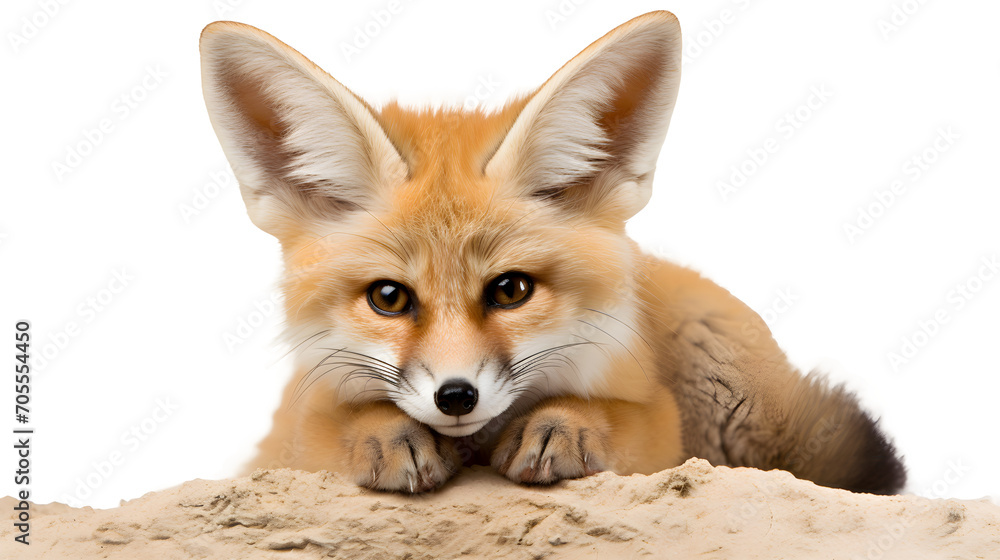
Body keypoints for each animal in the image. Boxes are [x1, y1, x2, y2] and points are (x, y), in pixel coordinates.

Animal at [199, 11, 906, 495]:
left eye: (511, 290)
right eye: (389, 298)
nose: (456, 397)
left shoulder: (660, 420)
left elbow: (629, 420)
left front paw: (564, 423)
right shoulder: (284, 437)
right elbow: (324, 432)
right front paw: (382, 431)